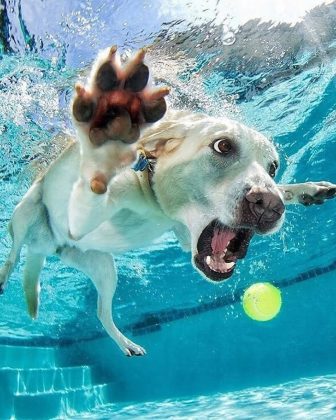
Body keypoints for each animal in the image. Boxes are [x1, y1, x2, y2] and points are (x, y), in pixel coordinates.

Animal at [0, 46, 336, 354]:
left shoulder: (185, 237)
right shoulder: (79, 219)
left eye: (273, 167)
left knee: (101, 312)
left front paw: (308, 189)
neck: (152, 192)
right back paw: (4, 275)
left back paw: (125, 343)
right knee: (14, 251)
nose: (268, 205)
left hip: (104, 268)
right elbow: (95, 180)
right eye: (223, 146)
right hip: (26, 211)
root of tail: (47, 245)